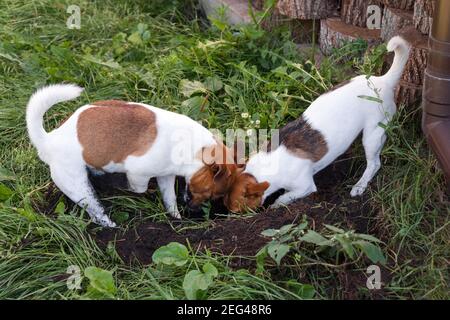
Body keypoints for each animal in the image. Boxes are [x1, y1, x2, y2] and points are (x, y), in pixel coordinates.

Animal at [27, 87, 239, 228]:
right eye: (211, 193)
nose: (193, 210)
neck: (192, 146)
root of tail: (48, 140)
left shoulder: (166, 176)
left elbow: (169, 198)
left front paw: (176, 217)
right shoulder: (138, 172)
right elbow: (139, 188)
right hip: (78, 188)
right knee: (97, 213)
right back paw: (113, 226)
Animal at [225, 36, 412, 212]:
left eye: (238, 210)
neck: (263, 168)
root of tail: (384, 81)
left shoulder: (304, 186)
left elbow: (285, 197)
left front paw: (276, 205)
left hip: (373, 135)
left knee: (374, 164)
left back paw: (360, 186)